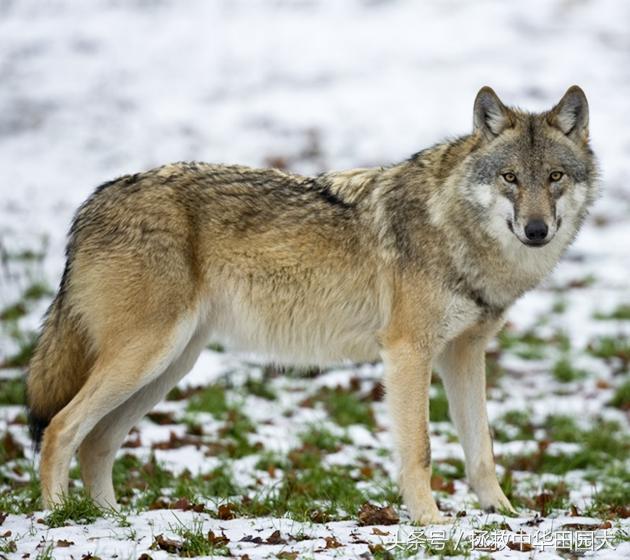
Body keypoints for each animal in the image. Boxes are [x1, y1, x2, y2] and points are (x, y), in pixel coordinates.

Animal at [25, 85, 596, 524]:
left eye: (554, 177)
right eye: (510, 178)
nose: (537, 230)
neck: (453, 226)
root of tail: (91, 203)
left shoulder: (464, 354)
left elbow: (483, 452)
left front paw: (503, 515)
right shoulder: (408, 352)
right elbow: (421, 450)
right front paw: (432, 523)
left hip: (168, 366)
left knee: (97, 442)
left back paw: (110, 520)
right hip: (147, 357)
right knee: (60, 430)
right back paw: (62, 518)